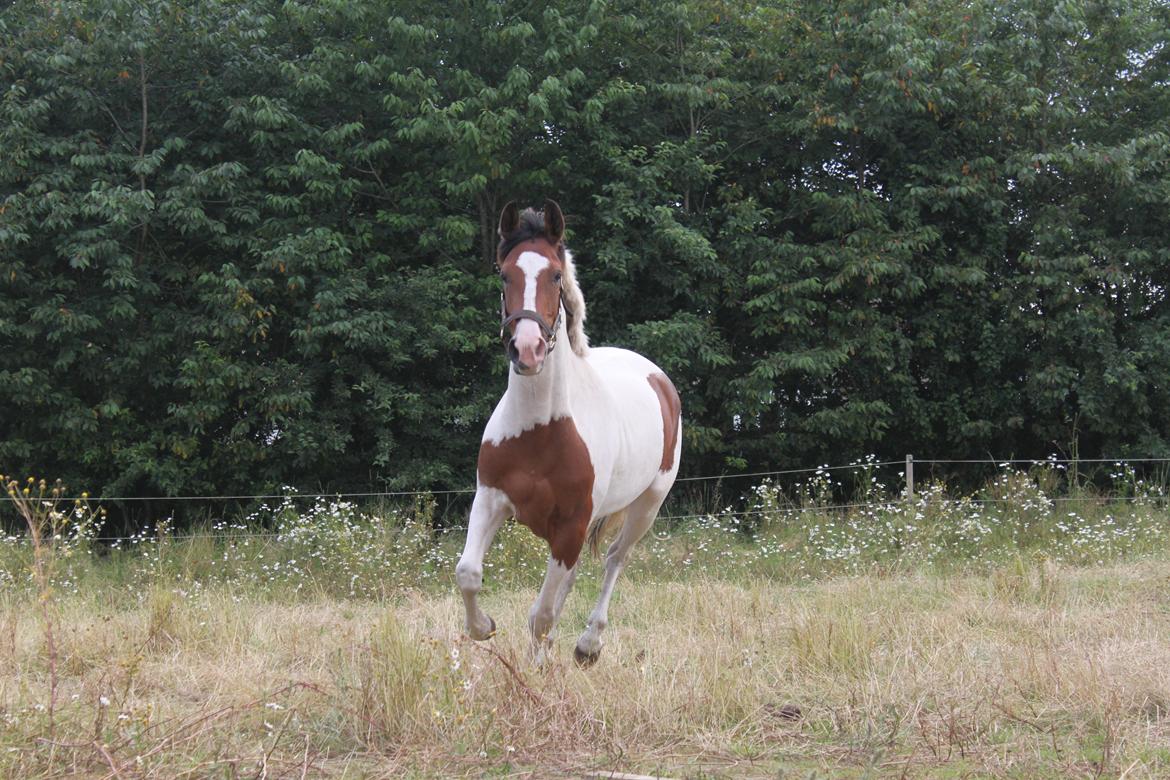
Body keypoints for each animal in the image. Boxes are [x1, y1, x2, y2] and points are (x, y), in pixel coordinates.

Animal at [453, 199, 683, 664]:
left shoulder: (571, 527)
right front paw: (484, 627)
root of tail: (658, 378)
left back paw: (588, 644)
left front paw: (537, 668)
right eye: (504, 274)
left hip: (647, 506)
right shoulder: (491, 498)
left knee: (615, 559)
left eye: (556, 275)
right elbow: (468, 572)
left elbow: (540, 614)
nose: (527, 350)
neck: (541, 432)